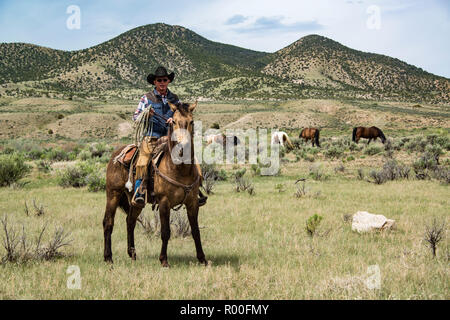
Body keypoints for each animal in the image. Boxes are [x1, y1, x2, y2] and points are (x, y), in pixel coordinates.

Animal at [103, 101, 207, 266]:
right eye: (174, 122)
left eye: (191, 122)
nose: (182, 146)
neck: (179, 169)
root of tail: (116, 154)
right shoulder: (164, 202)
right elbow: (165, 232)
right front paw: (164, 260)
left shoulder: (192, 203)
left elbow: (195, 231)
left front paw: (202, 259)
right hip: (113, 194)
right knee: (108, 222)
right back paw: (108, 257)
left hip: (135, 202)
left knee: (130, 221)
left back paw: (132, 254)